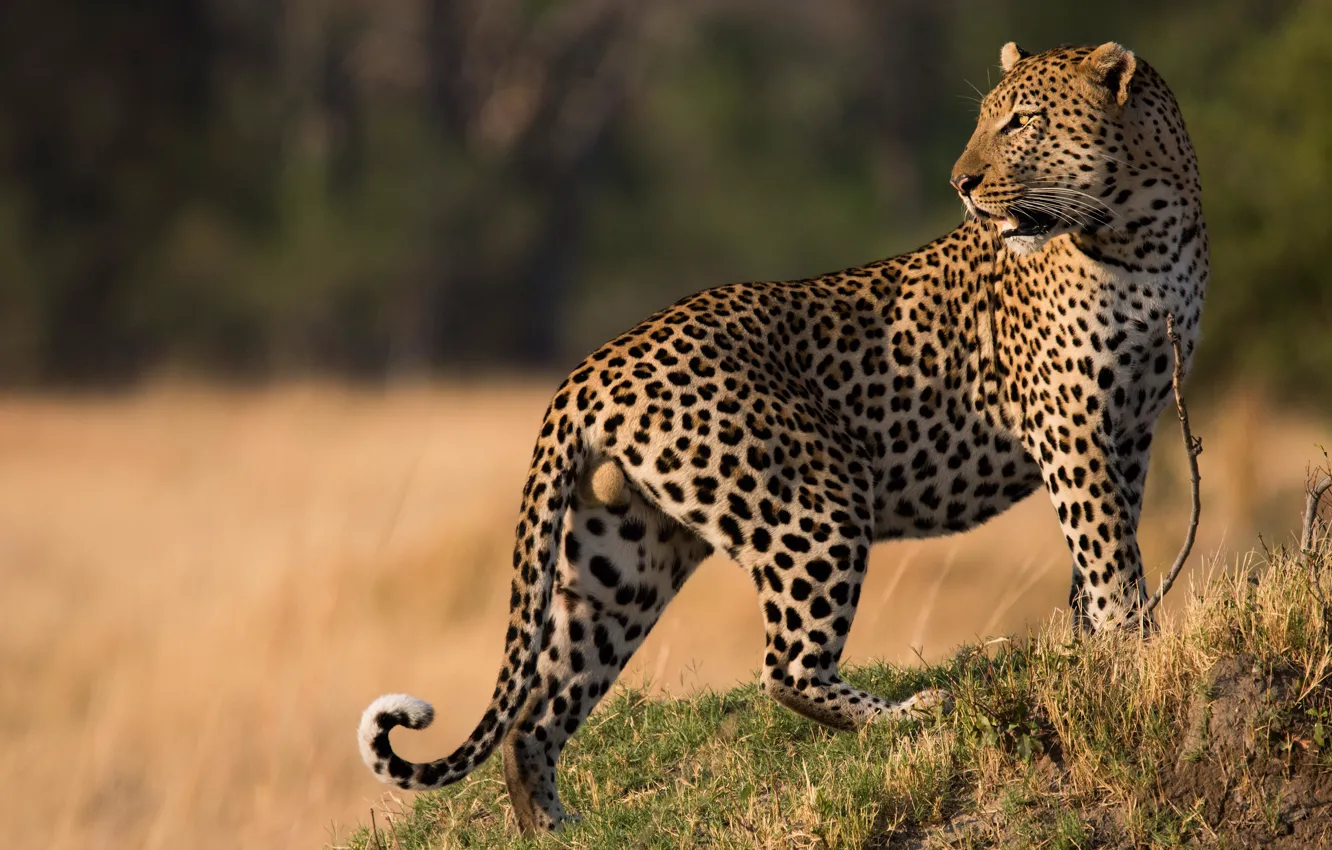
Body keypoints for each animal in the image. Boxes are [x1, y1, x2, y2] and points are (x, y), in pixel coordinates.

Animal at [354, 43, 1209, 836]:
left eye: (1022, 121)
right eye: (986, 118)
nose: (961, 182)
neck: (1143, 232)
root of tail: (588, 370)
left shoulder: (1132, 429)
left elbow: (1107, 548)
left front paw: (1096, 643)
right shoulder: (1069, 423)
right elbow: (1107, 551)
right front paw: (1131, 648)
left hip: (624, 558)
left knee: (535, 712)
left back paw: (556, 831)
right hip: (815, 502)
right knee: (784, 667)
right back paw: (912, 714)